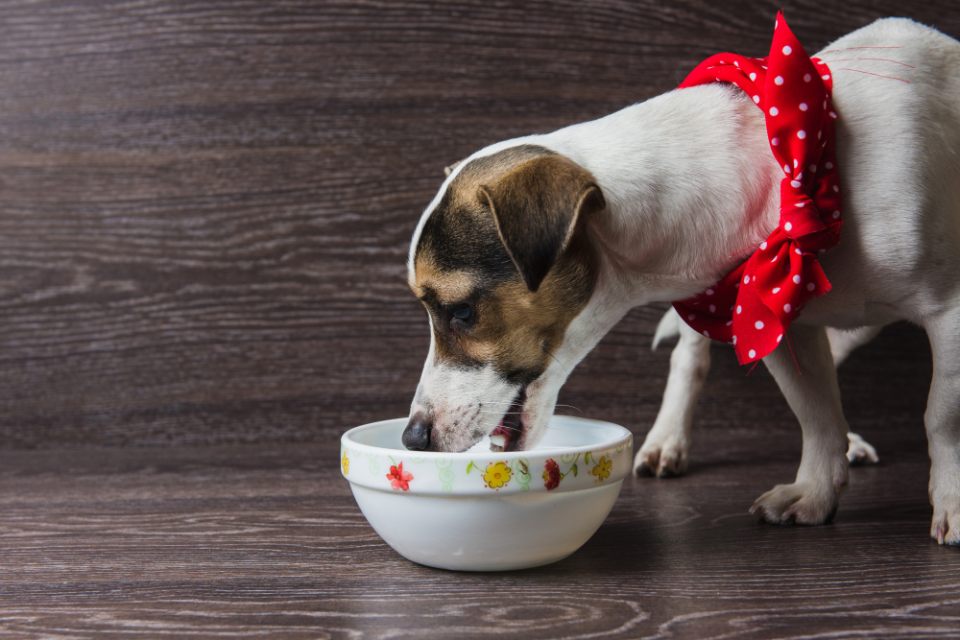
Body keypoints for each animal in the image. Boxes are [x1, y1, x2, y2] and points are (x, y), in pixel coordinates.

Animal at [402, 17, 960, 544]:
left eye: (462, 312)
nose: (412, 439)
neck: (797, 165)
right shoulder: (774, 320)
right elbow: (815, 413)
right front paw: (816, 493)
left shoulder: (946, 314)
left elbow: (940, 414)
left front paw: (951, 502)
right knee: (691, 358)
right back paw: (670, 437)